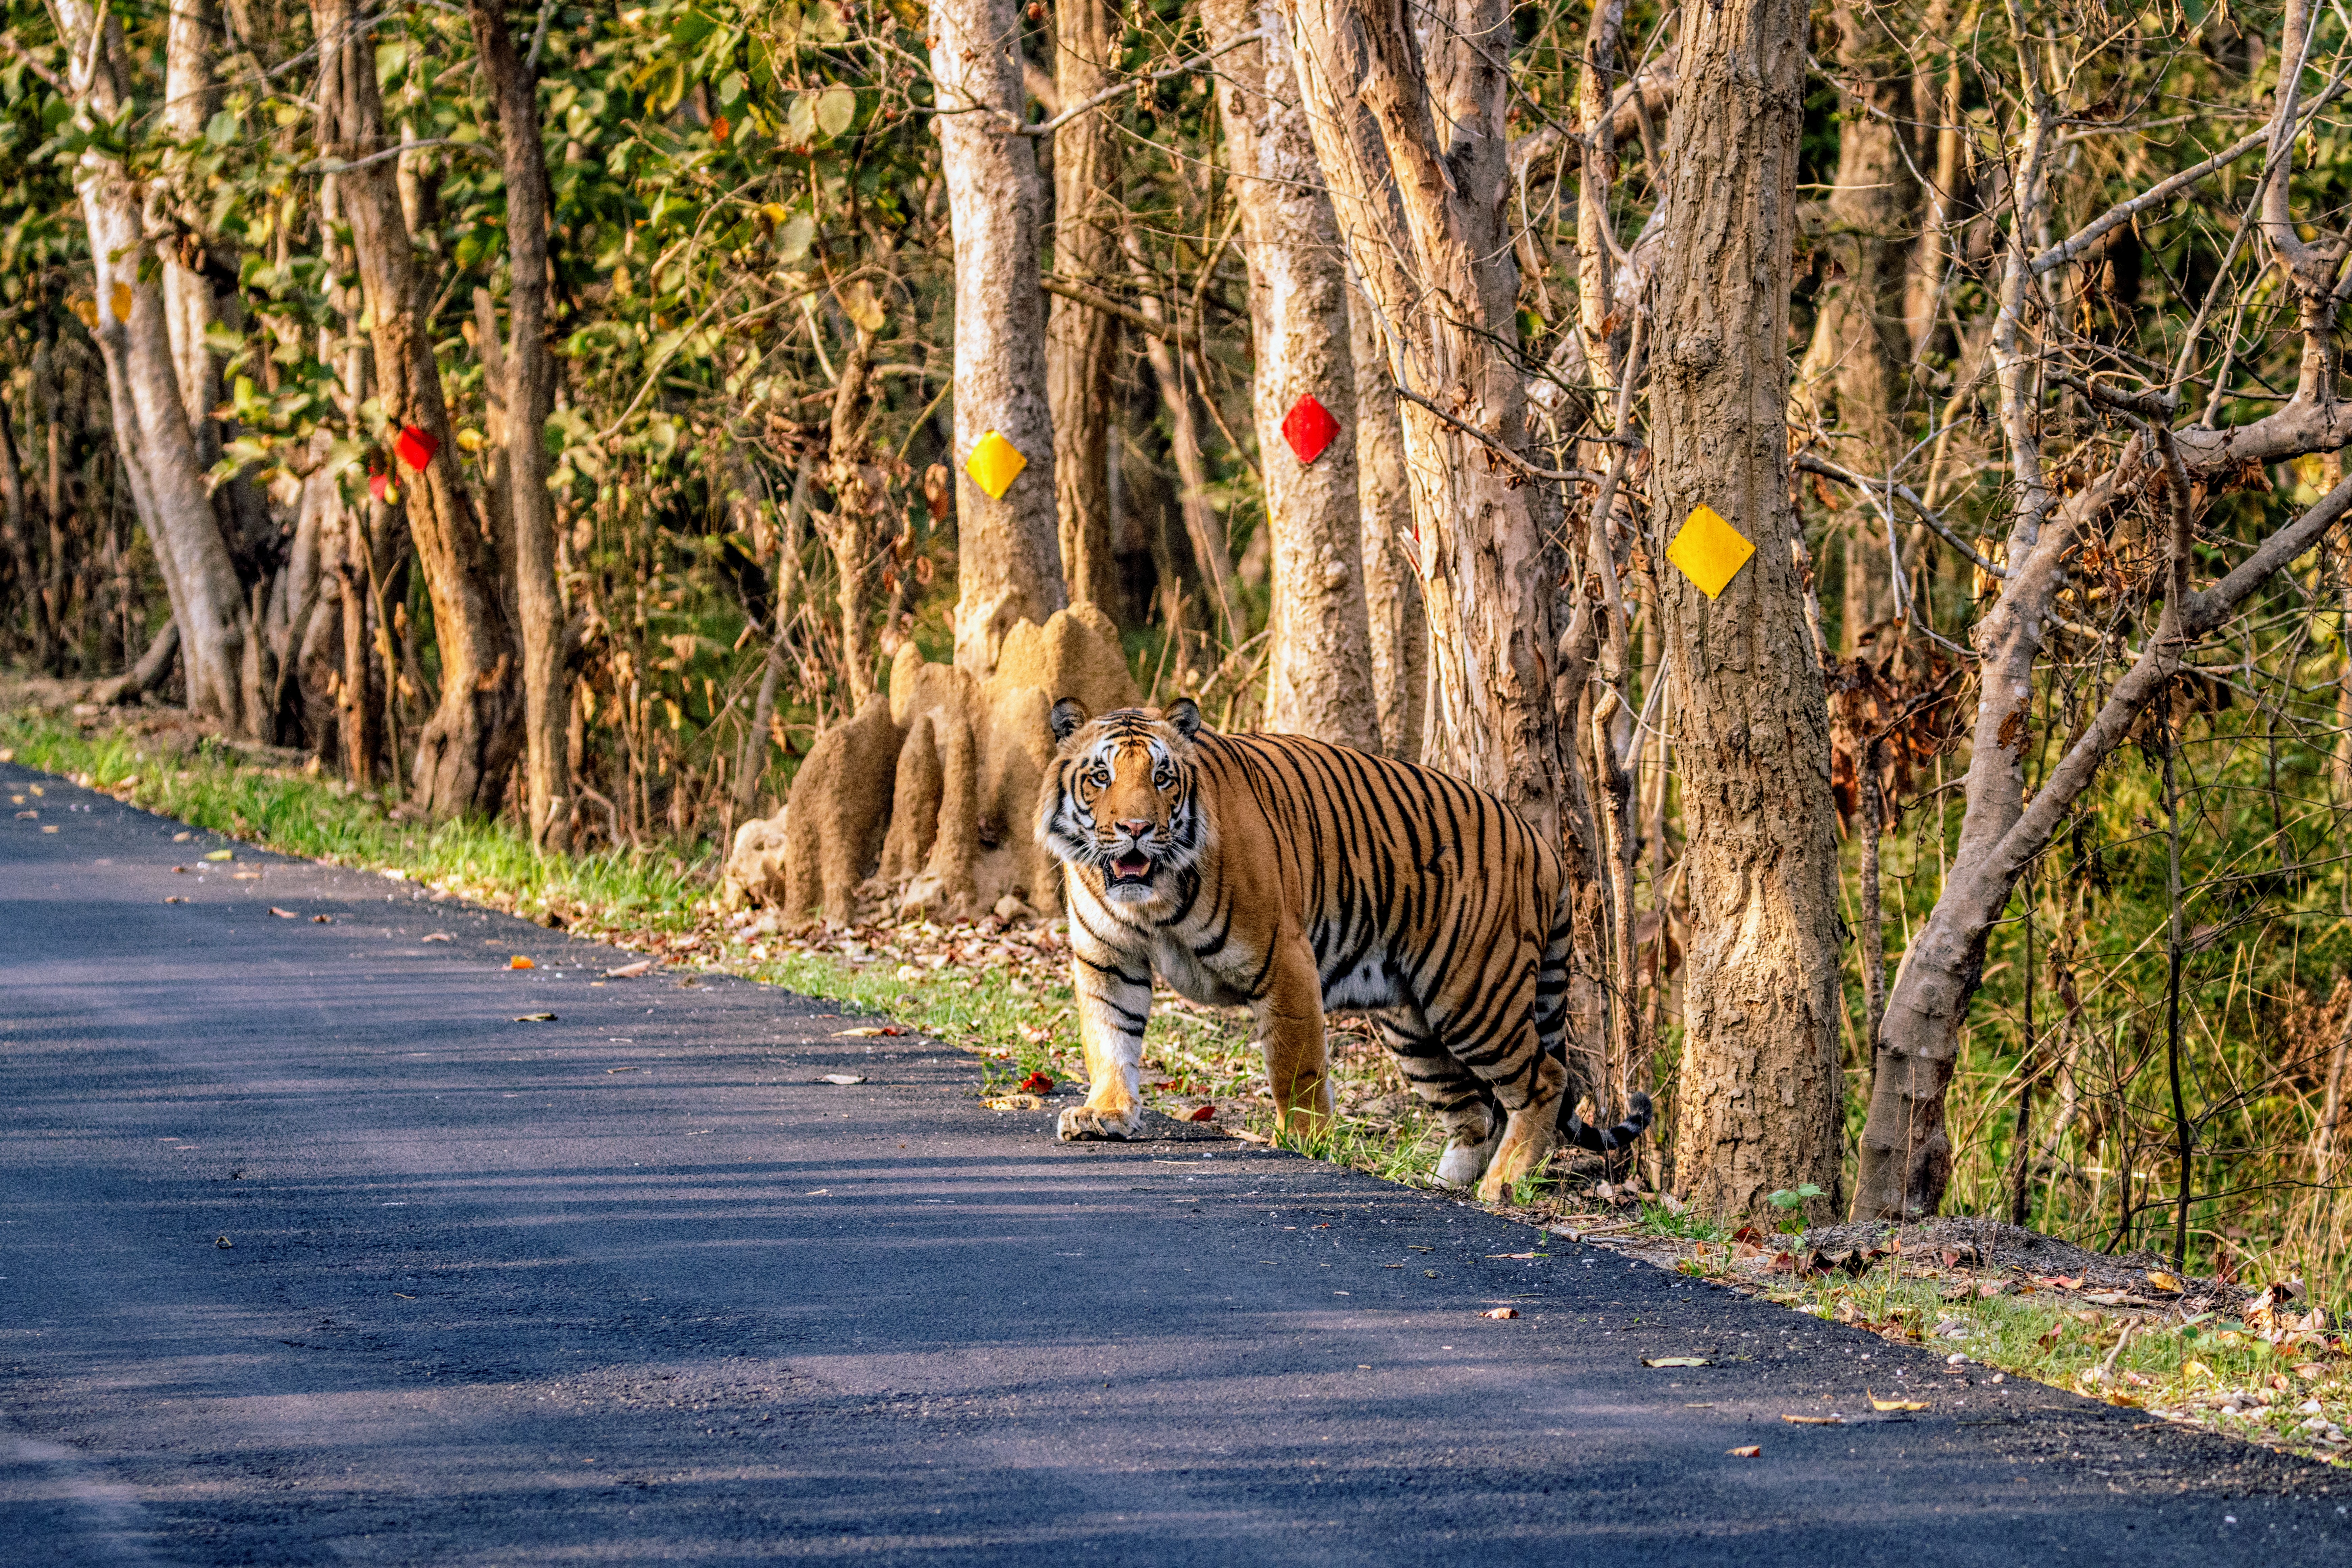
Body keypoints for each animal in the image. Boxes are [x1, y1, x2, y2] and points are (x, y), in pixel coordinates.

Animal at [1035, 697, 1651, 1202]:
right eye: (1100, 776)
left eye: (1163, 778)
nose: (1136, 828)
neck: (1151, 900)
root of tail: (1542, 845)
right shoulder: (1108, 959)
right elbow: (1109, 1039)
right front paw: (1105, 1114)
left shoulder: (1282, 959)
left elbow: (1296, 1064)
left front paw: (1302, 1140)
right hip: (1414, 1026)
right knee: (1476, 1110)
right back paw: (1440, 1184)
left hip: (1475, 997)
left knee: (1545, 1079)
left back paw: (1501, 1185)